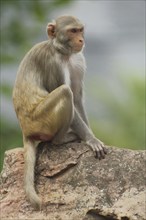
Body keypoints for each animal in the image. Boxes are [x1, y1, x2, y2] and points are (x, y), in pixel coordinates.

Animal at [12, 15, 107, 210]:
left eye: (80, 30)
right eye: (72, 31)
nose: (81, 40)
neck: (62, 51)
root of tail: (26, 130)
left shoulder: (78, 60)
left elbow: (77, 97)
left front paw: (90, 137)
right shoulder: (53, 63)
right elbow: (68, 93)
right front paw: (91, 140)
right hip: (40, 120)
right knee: (64, 92)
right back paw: (61, 140)